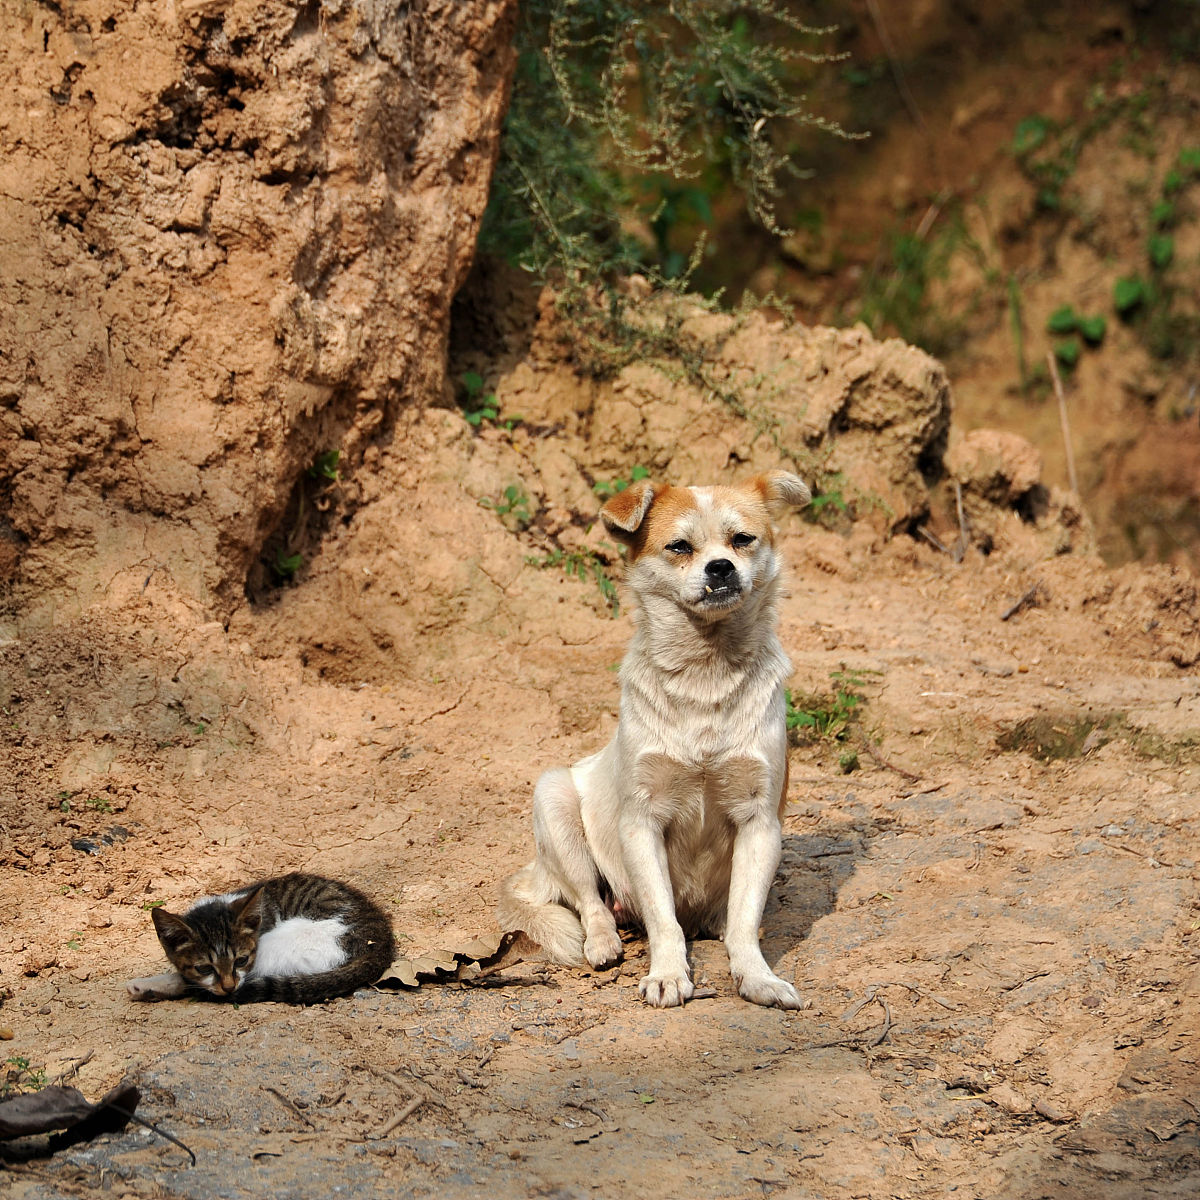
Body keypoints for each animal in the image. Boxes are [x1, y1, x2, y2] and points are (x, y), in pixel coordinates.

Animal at [129, 873, 396, 1003]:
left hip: (281, 945)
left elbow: (193, 981)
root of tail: (379, 944)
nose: (228, 986)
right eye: (204, 967)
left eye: (241, 960)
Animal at [492, 468, 811, 1003]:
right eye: (679, 546)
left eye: (742, 540)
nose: (721, 567)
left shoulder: (761, 821)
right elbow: (664, 919)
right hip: (553, 799)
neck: (706, 673)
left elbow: (746, 920)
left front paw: (757, 976)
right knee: (590, 902)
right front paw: (667, 975)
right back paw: (602, 943)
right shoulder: (642, 822)